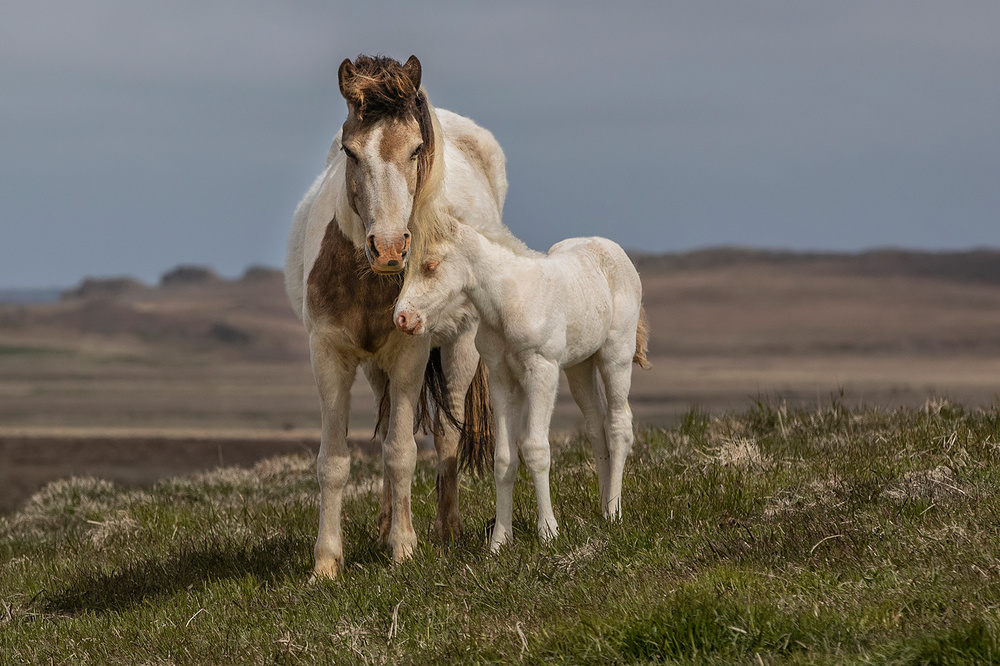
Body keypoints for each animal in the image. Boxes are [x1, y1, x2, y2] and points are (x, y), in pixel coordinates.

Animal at [286, 55, 504, 576]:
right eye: (350, 151)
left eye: (416, 149)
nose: (387, 248)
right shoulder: (330, 357)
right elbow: (335, 461)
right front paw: (327, 563)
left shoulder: (410, 355)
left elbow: (402, 453)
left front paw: (405, 550)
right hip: (375, 369)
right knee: (389, 426)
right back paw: (384, 527)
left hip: (460, 351)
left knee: (447, 438)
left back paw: (447, 532)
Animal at [394, 219, 652, 548]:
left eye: (430, 265)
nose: (401, 318)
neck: (508, 300)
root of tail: (611, 248)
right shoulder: (502, 379)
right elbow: (504, 458)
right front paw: (499, 542)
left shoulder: (542, 371)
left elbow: (535, 448)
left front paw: (548, 532)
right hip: (579, 366)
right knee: (597, 427)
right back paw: (604, 508)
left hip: (615, 355)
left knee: (619, 425)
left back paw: (614, 514)